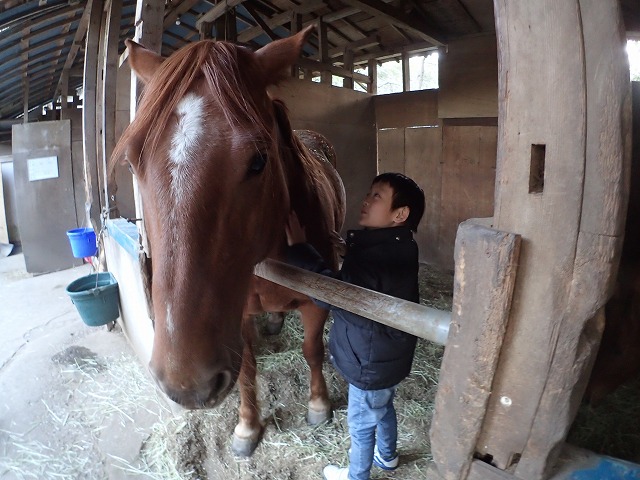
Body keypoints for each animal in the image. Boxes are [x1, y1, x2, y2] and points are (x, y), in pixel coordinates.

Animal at [112, 28, 348, 456]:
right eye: (133, 162)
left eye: (259, 160)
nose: (187, 383)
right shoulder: (237, 317)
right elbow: (247, 370)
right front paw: (247, 427)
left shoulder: (315, 302)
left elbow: (312, 350)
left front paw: (319, 405)